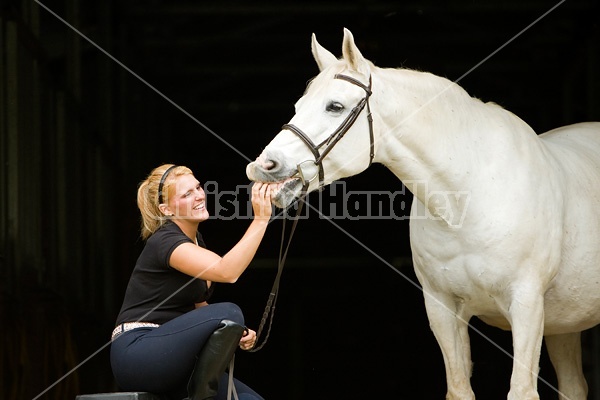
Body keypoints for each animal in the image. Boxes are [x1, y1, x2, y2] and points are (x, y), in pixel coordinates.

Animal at [245, 28, 600, 400]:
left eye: (335, 106)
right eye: (298, 107)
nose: (263, 165)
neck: (468, 200)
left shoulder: (527, 304)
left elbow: (521, 390)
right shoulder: (442, 307)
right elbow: (459, 388)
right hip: (563, 323)